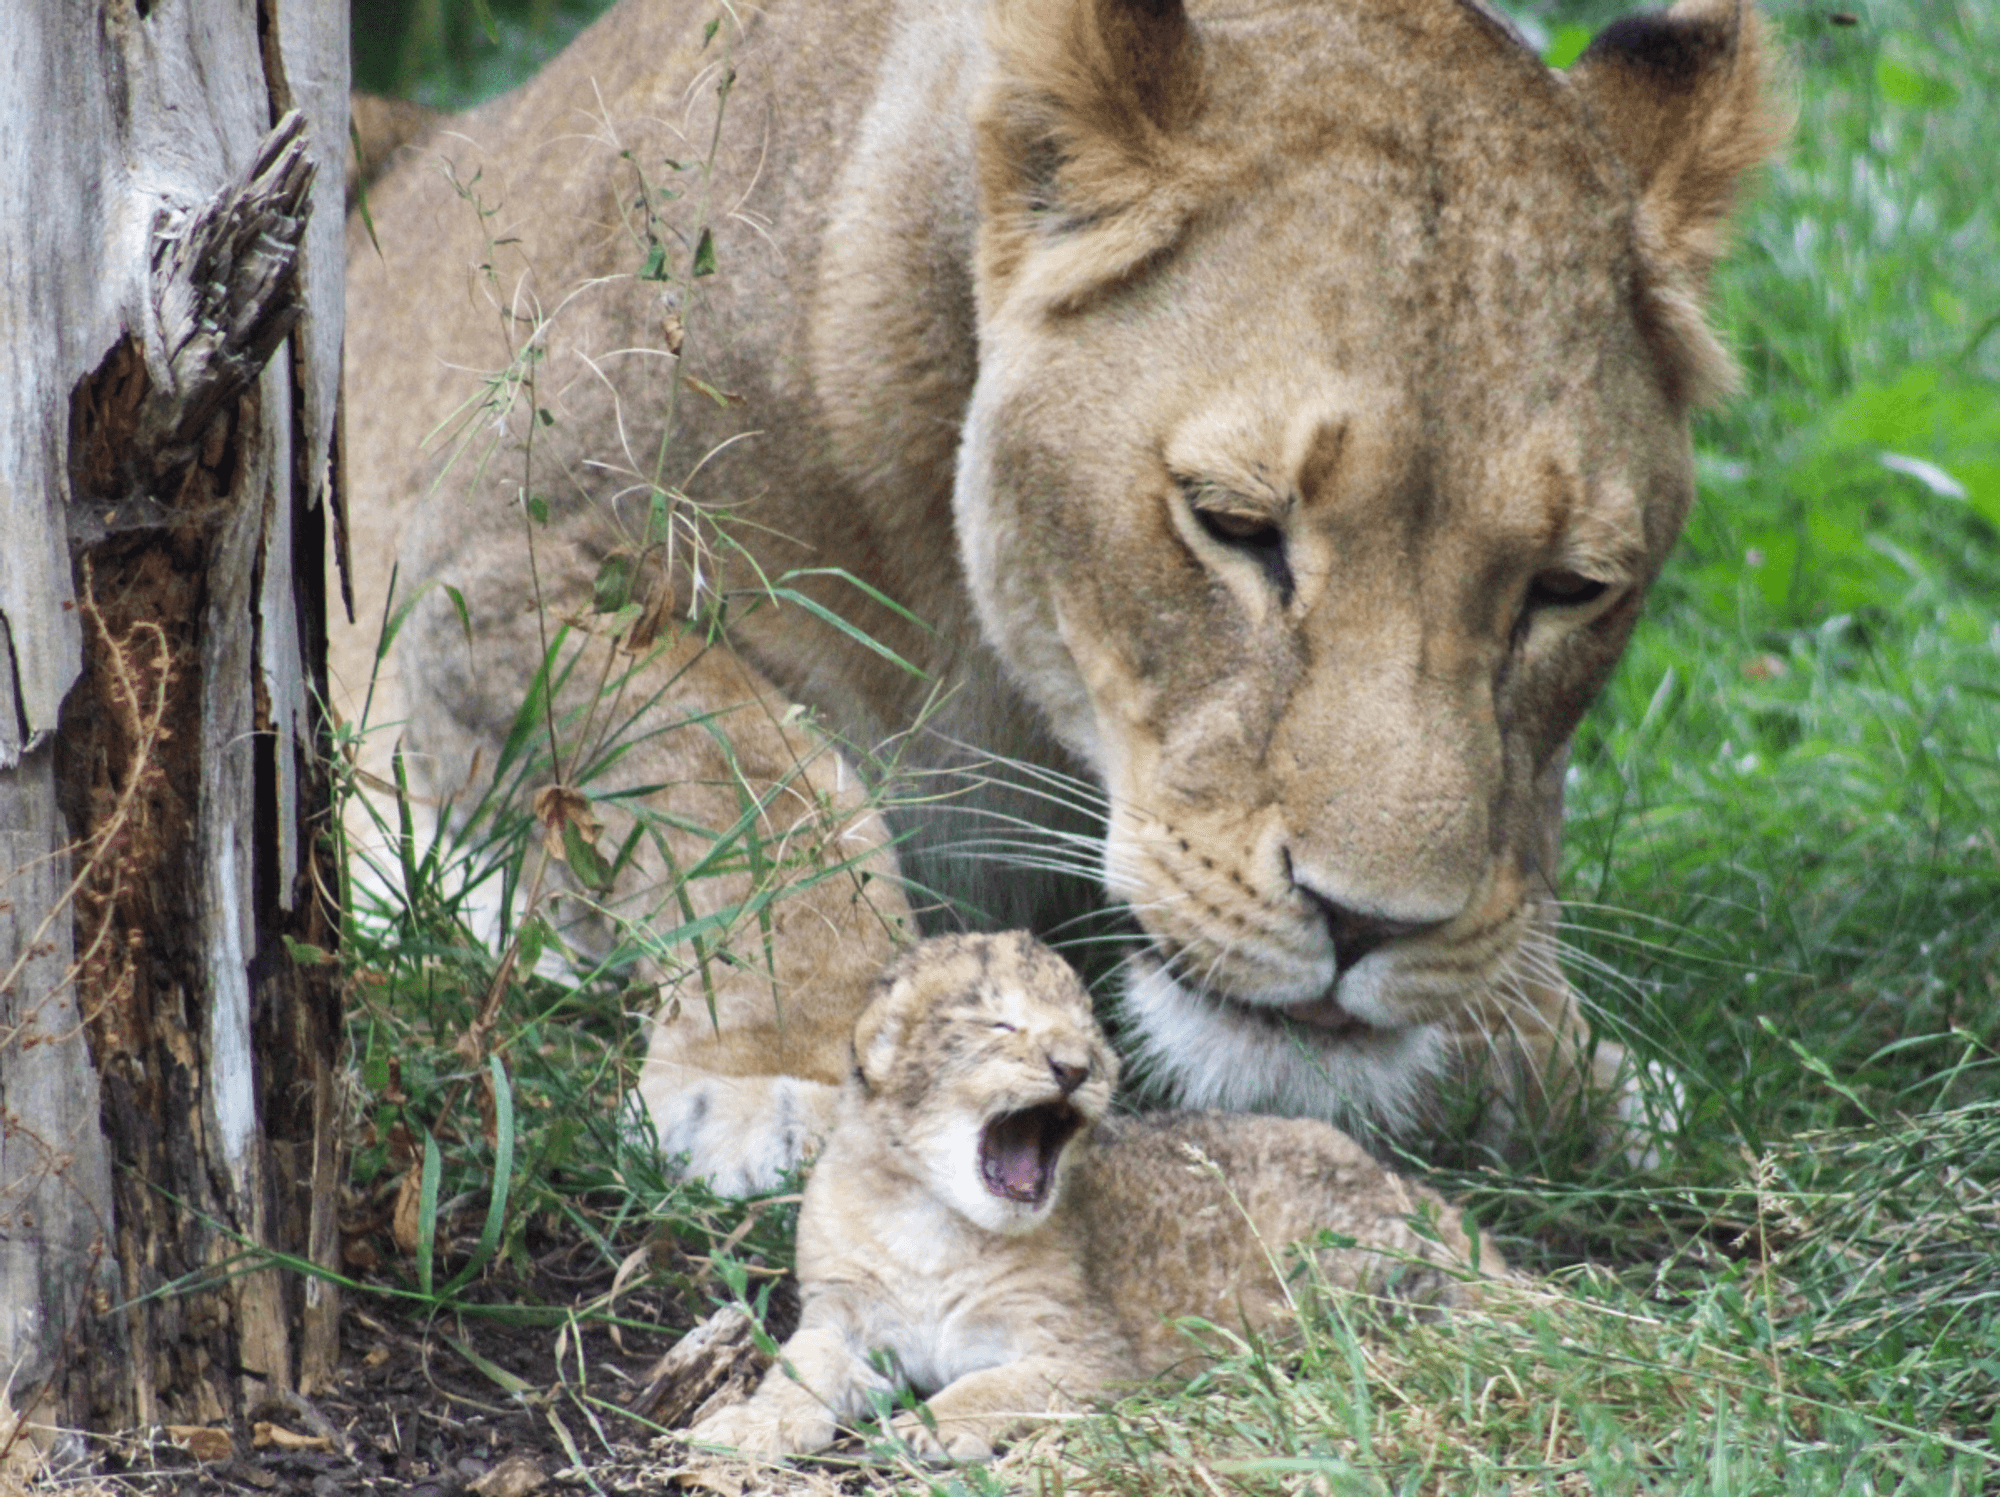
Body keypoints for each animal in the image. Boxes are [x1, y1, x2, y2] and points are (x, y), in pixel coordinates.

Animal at [335, 0, 1784, 1191]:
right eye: (1233, 524)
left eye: (1567, 587)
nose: (1368, 924)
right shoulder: (487, 582)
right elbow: (731, 763)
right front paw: (793, 1055)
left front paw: (1551, 1050)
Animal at [686, 932, 1497, 1461]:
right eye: (999, 1023)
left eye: (1092, 1035)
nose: (1075, 1067)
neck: (932, 1220)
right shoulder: (843, 1314)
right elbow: (799, 1368)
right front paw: (746, 1427)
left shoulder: (1087, 1353)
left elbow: (1002, 1383)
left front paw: (934, 1425)